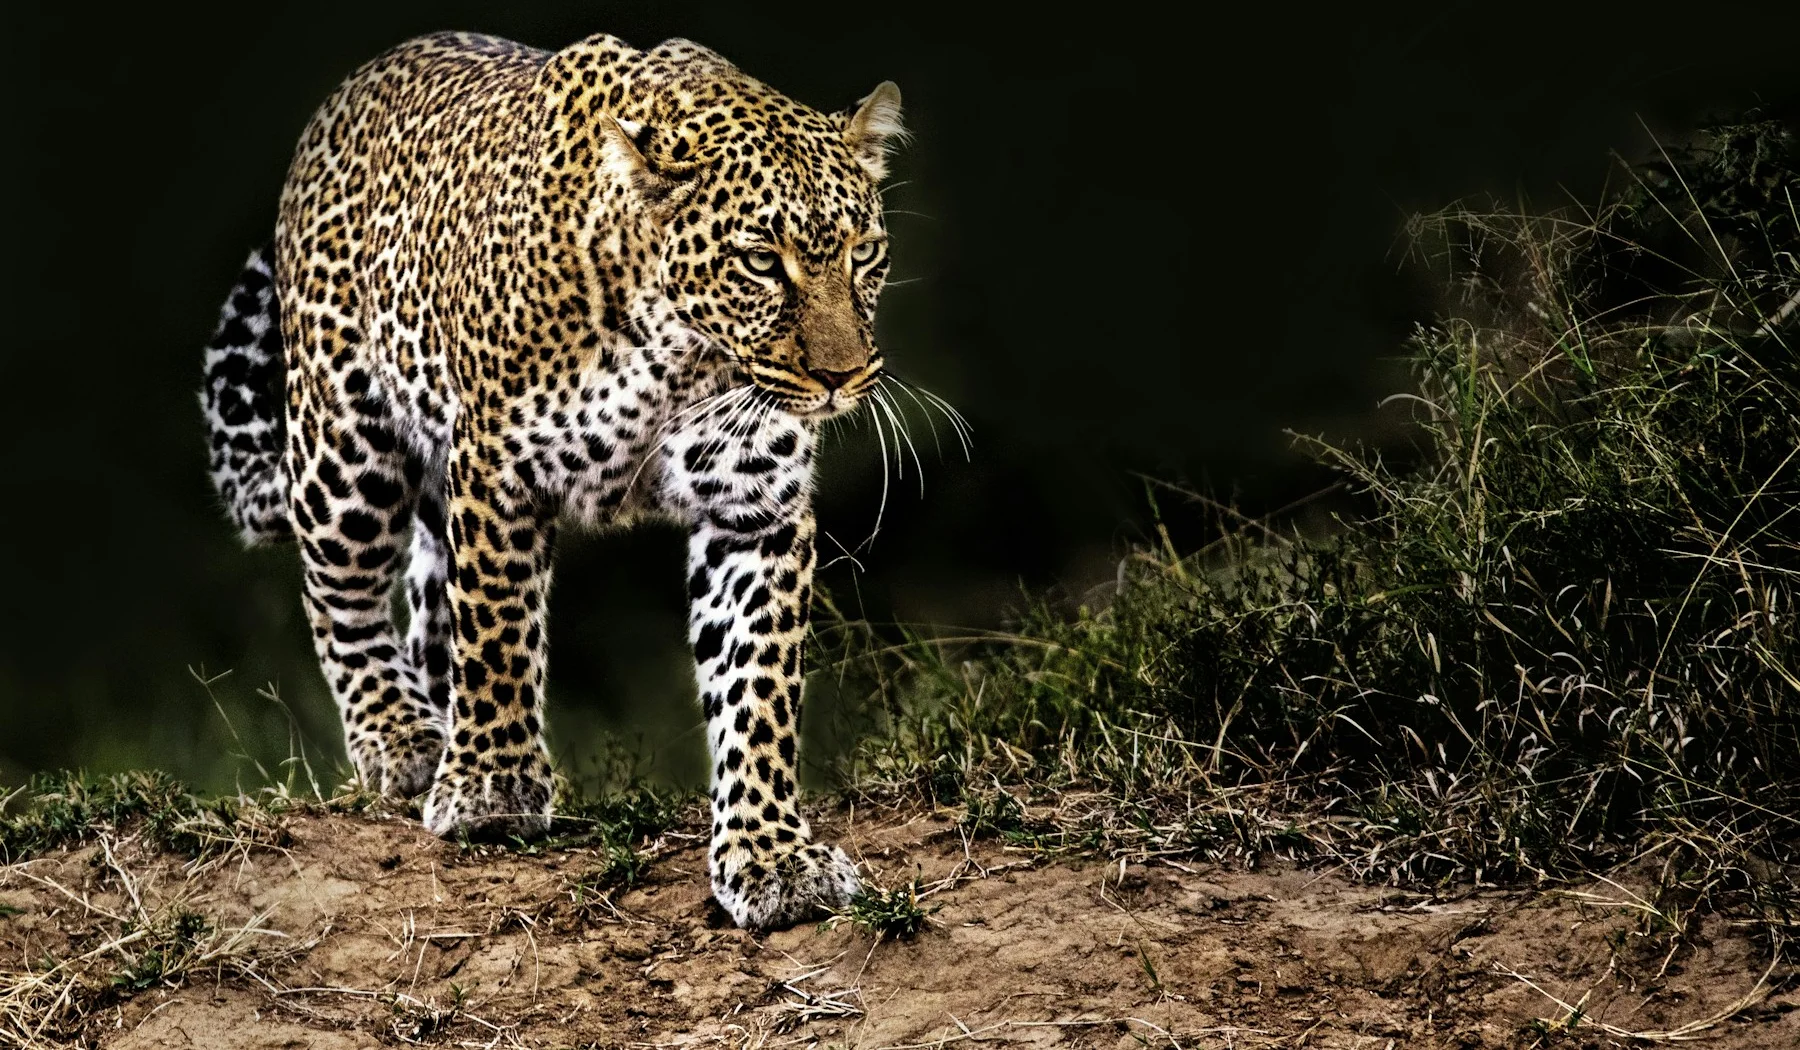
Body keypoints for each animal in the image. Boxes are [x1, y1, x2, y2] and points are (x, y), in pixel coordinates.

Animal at [198, 30, 912, 929]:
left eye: (865, 253)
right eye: (759, 262)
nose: (842, 378)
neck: (680, 351)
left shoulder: (755, 503)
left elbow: (758, 685)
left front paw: (770, 854)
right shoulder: (497, 466)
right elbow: (499, 632)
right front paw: (492, 791)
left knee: (430, 612)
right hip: (345, 445)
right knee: (341, 597)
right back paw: (405, 738)